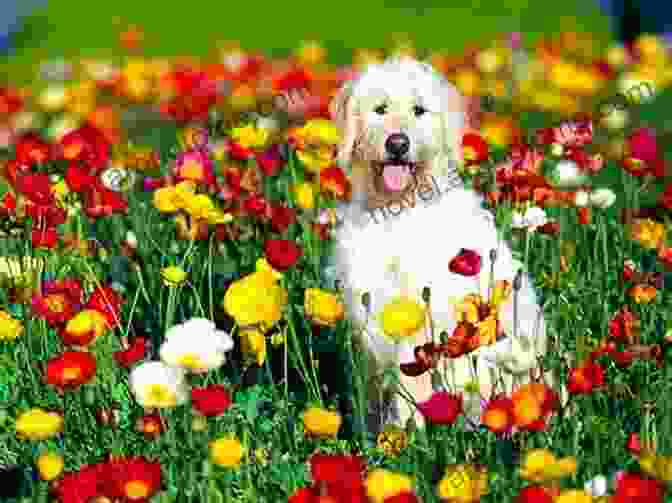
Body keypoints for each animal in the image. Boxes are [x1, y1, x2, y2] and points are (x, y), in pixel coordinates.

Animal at [276, 57, 548, 436]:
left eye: (419, 110)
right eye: (380, 109)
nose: (397, 144)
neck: (396, 211)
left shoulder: (419, 323)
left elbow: (410, 392)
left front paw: (402, 438)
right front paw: (370, 438)